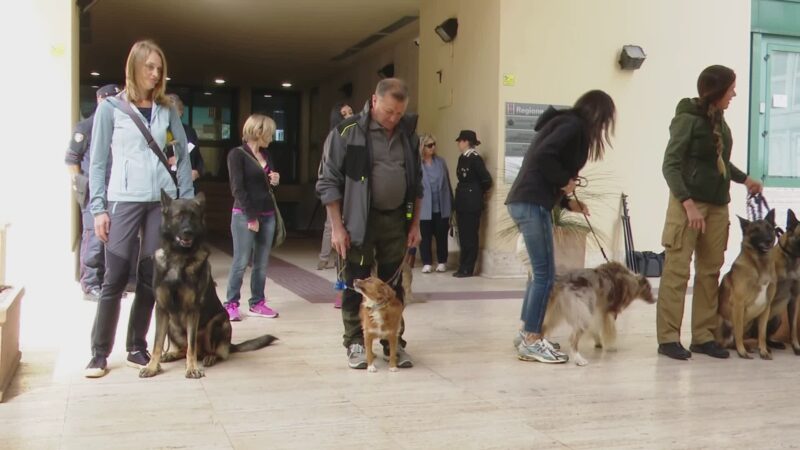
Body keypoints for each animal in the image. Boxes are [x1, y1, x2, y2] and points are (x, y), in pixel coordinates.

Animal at [142, 192, 280, 378]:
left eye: (193, 216)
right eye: (178, 216)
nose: (188, 232)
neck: (179, 257)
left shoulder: (193, 311)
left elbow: (191, 346)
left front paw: (192, 368)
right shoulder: (161, 309)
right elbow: (157, 343)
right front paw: (151, 366)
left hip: (218, 322)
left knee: (211, 351)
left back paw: (210, 357)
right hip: (172, 323)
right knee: (183, 348)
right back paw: (171, 354)